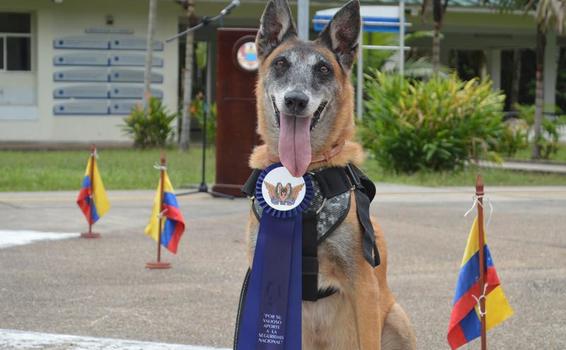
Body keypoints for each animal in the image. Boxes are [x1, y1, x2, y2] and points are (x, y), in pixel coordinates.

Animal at [246, 0, 420, 348]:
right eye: (281, 64)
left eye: (323, 69)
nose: (295, 100)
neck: (305, 175)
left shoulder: (362, 286)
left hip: (397, 319)